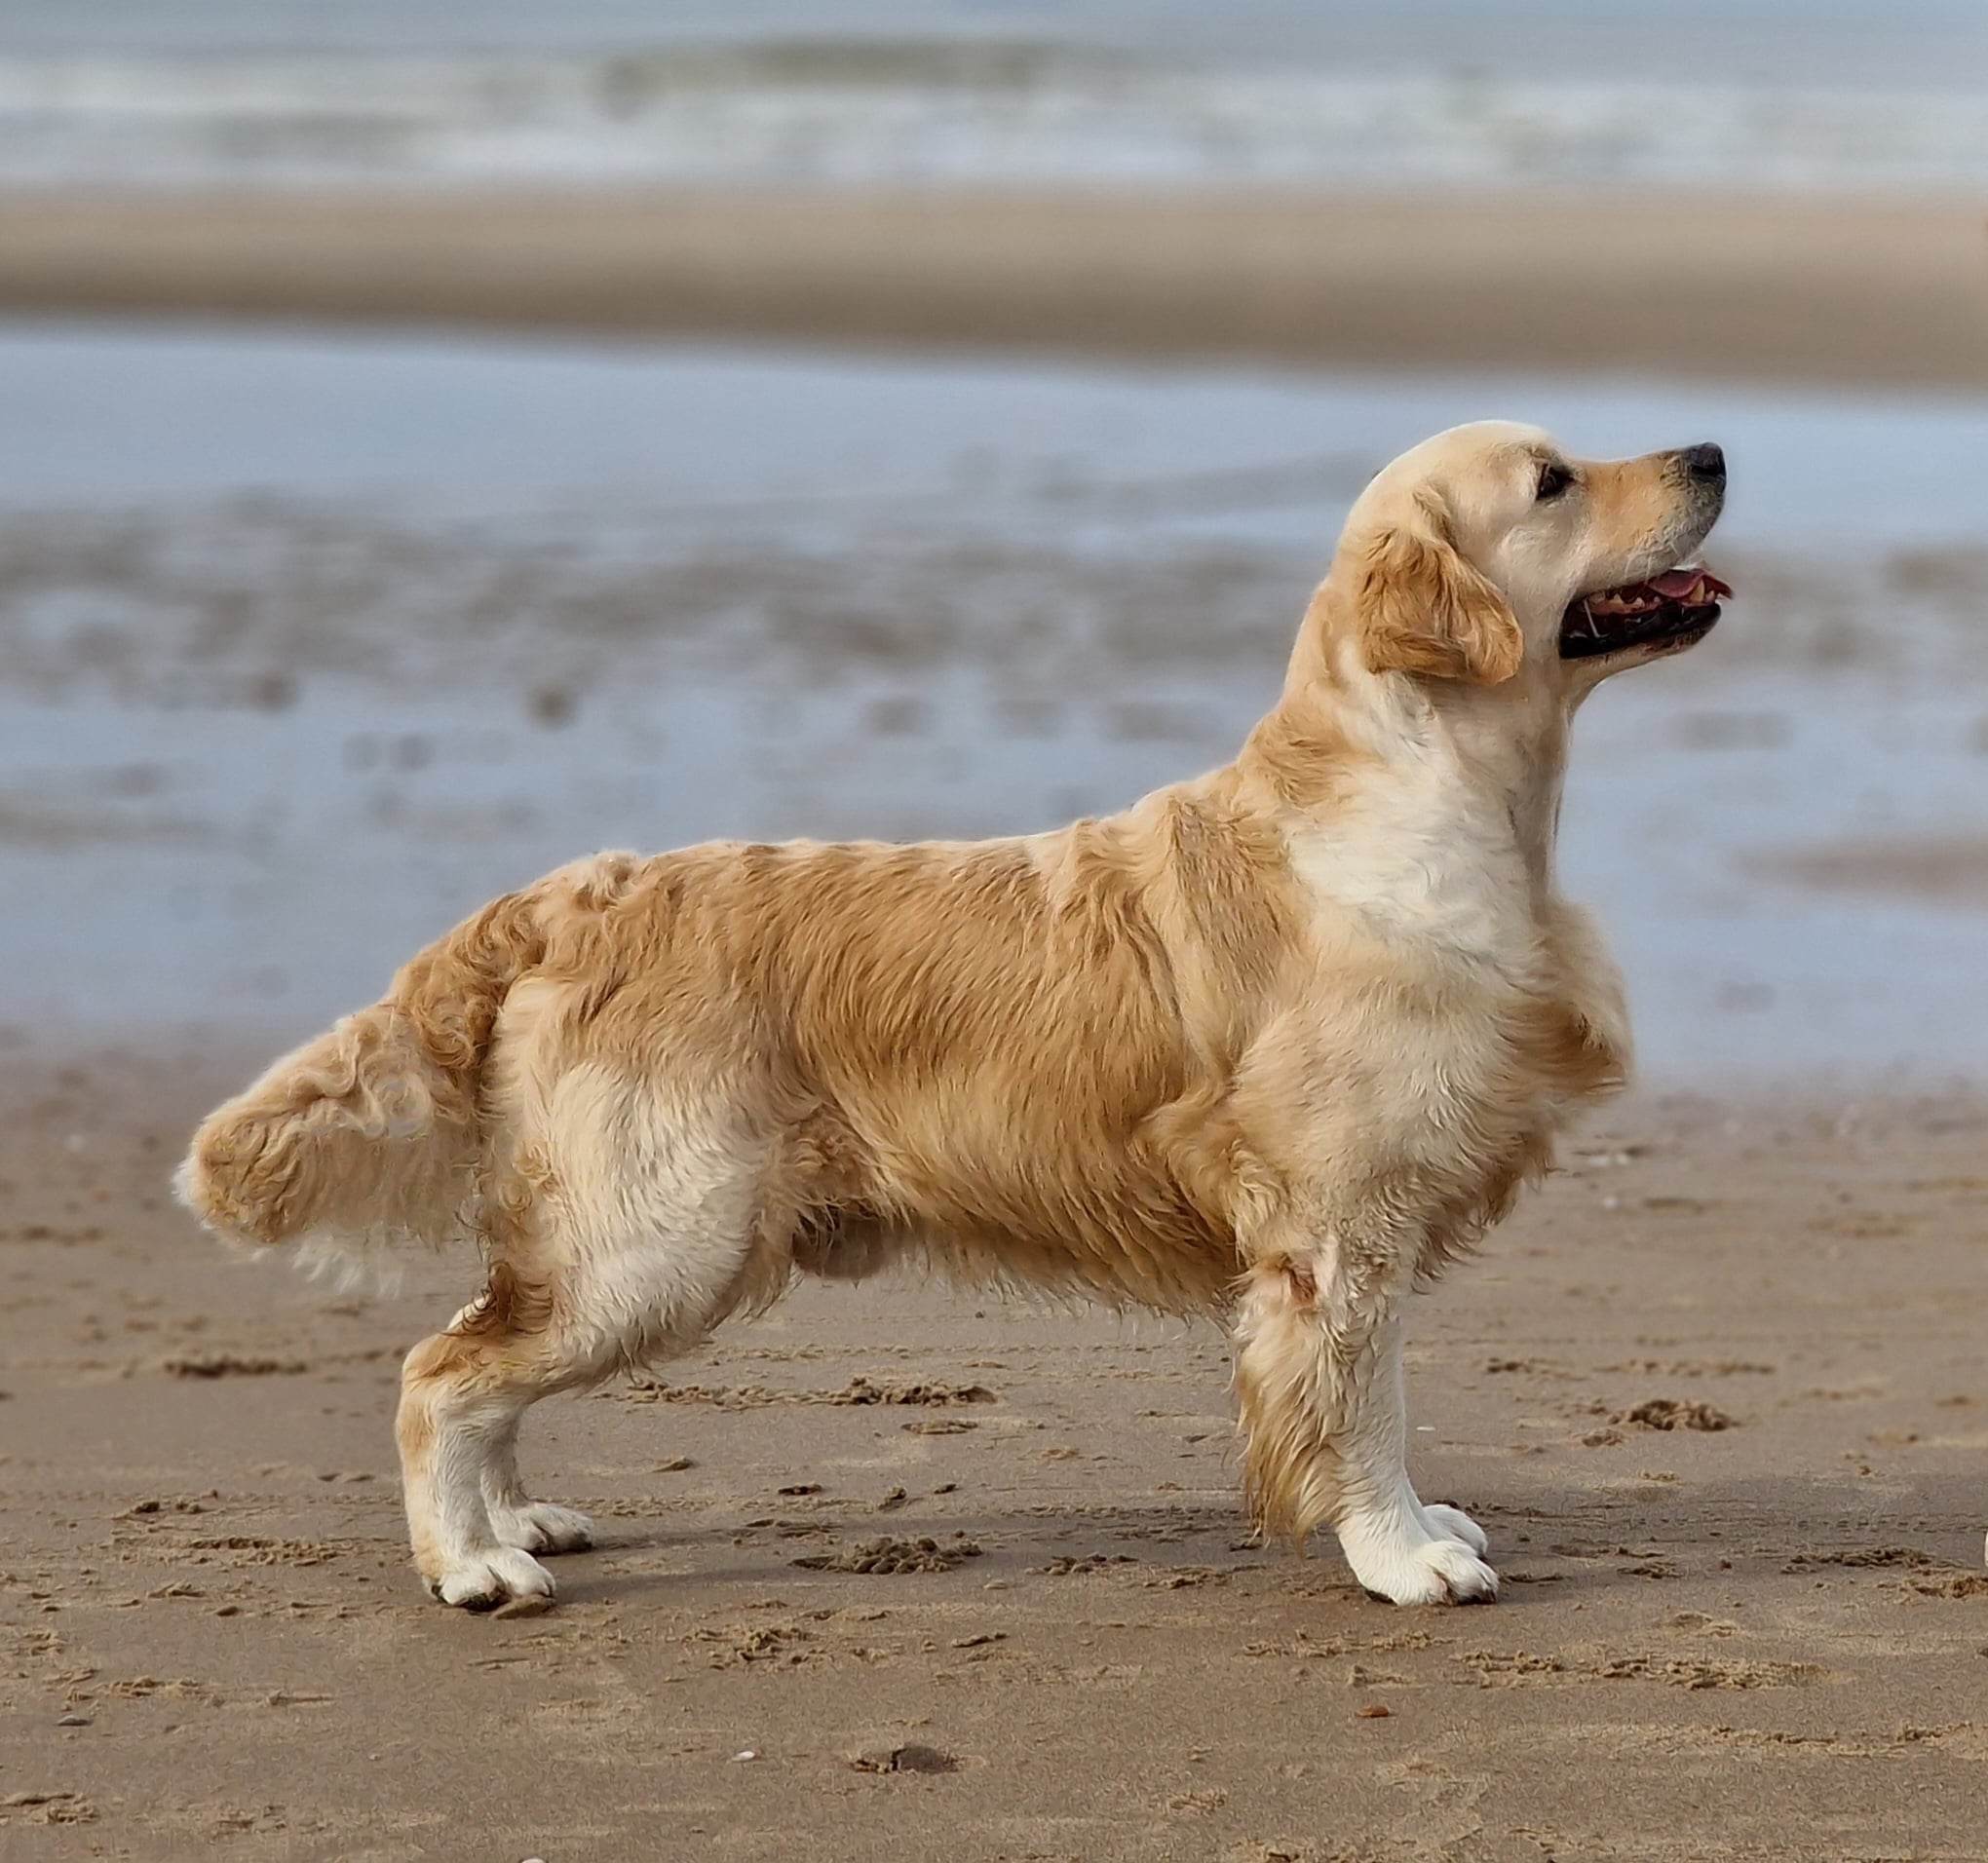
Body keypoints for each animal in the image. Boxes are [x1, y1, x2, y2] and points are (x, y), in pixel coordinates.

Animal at [182, 417, 1725, 1598]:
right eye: (1554, 482)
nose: (1711, 450)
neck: (1431, 792)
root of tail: (575, 892)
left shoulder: (1367, 1218)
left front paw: (1417, 1525)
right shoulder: (1338, 1224)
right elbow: (1360, 1407)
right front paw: (1403, 1553)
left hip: (620, 1233)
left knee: (480, 1341)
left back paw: (517, 1518)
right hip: (665, 1241)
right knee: (440, 1370)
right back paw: (472, 1566)